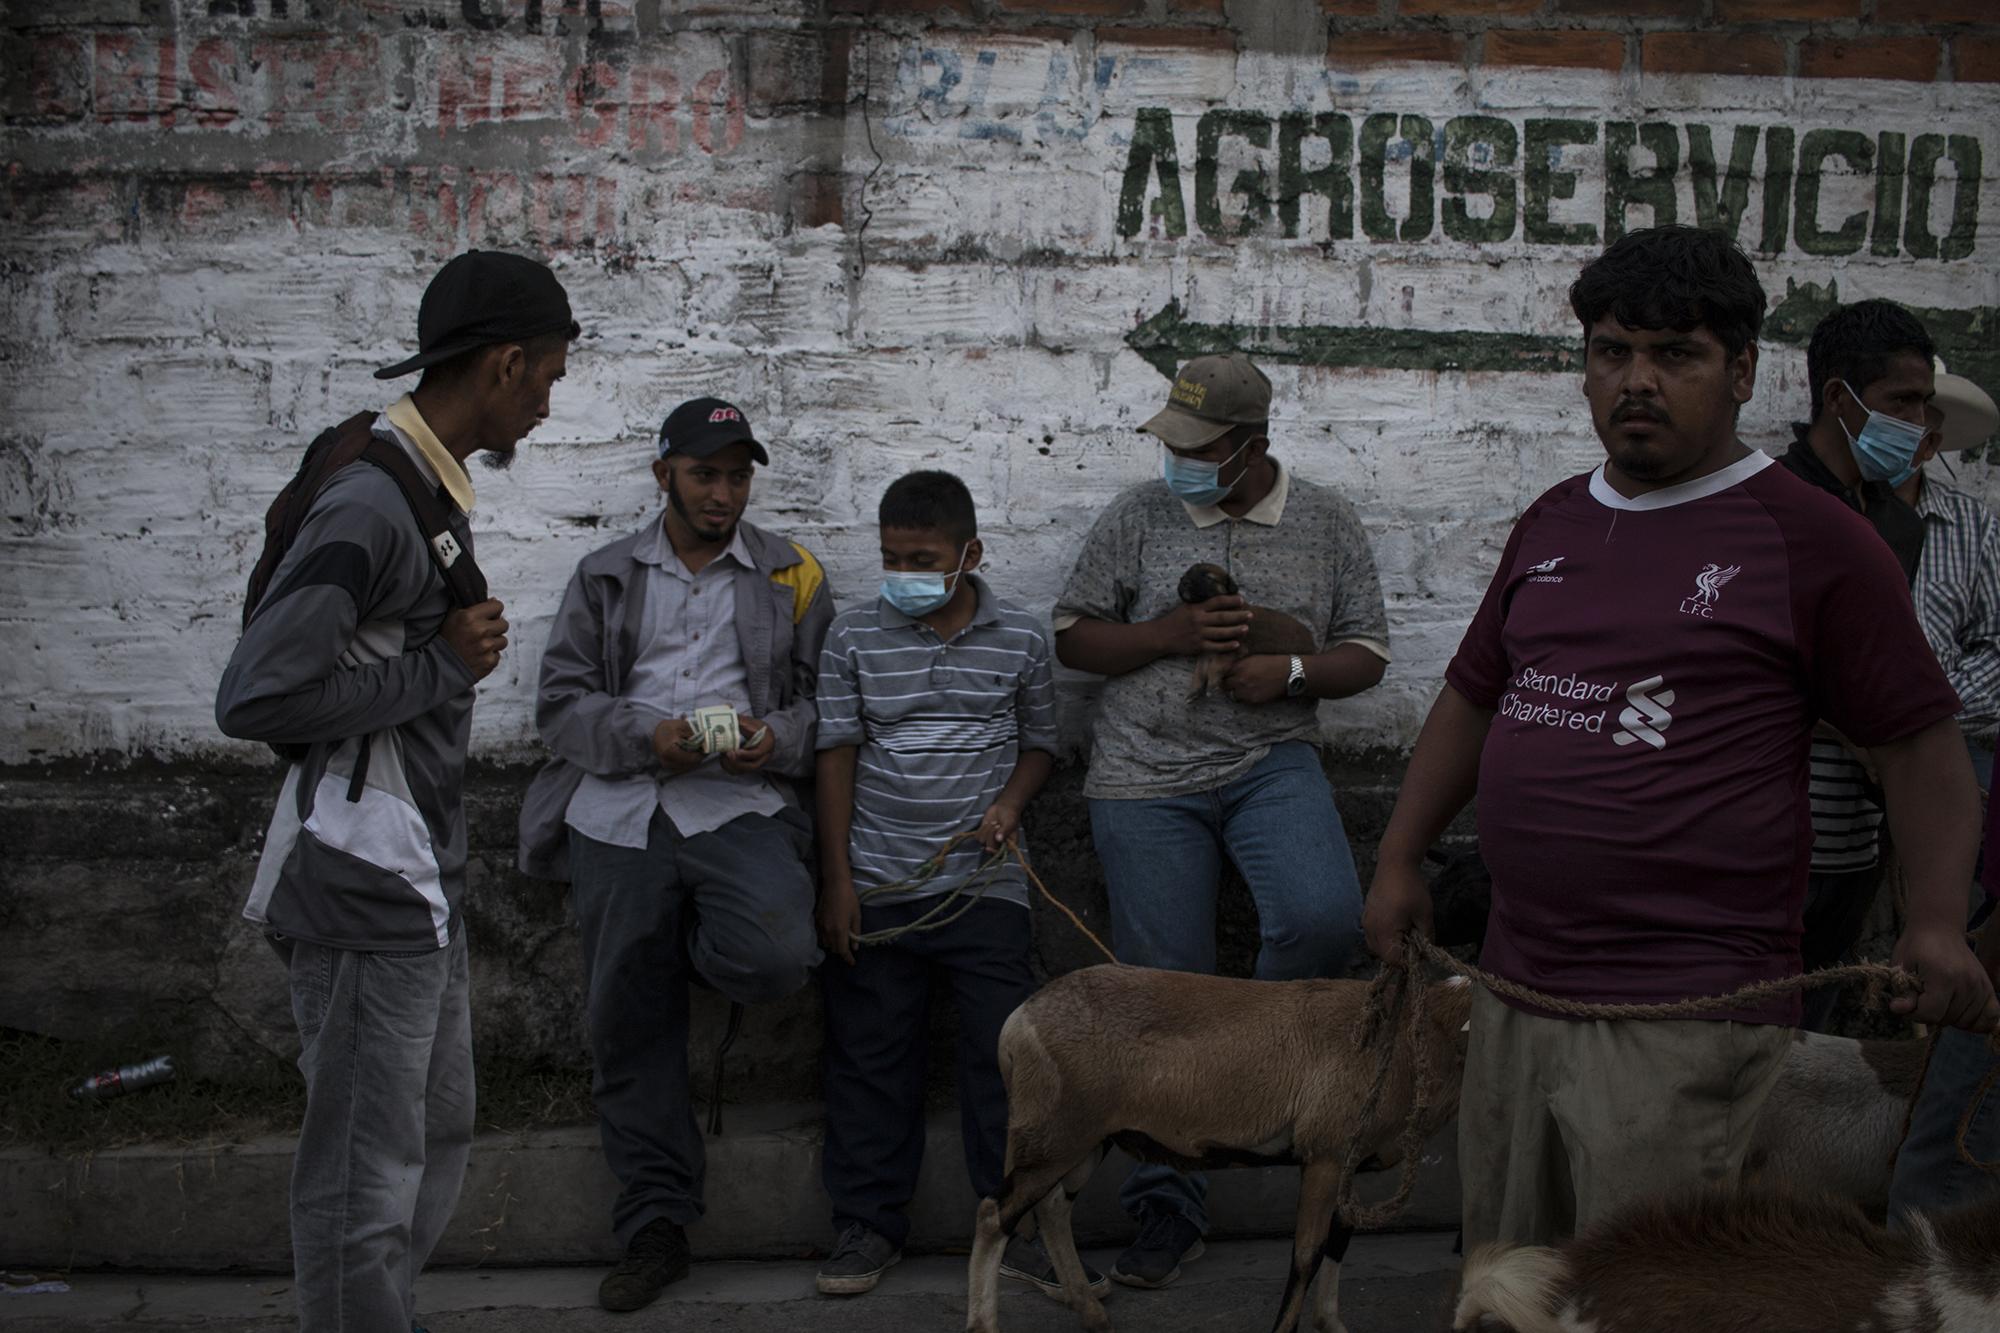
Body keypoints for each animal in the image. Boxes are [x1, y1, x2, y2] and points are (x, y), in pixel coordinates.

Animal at [960, 964, 1480, 1328]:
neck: (1414, 1041)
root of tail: (1018, 1024)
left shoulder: (1353, 1167)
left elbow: (1339, 1242)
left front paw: (1332, 1323)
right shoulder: (1326, 1156)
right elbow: (1306, 1256)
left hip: (1085, 1140)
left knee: (1051, 1210)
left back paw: (1093, 1315)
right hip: (1057, 1134)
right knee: (994, 1214)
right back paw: (985, 1325)